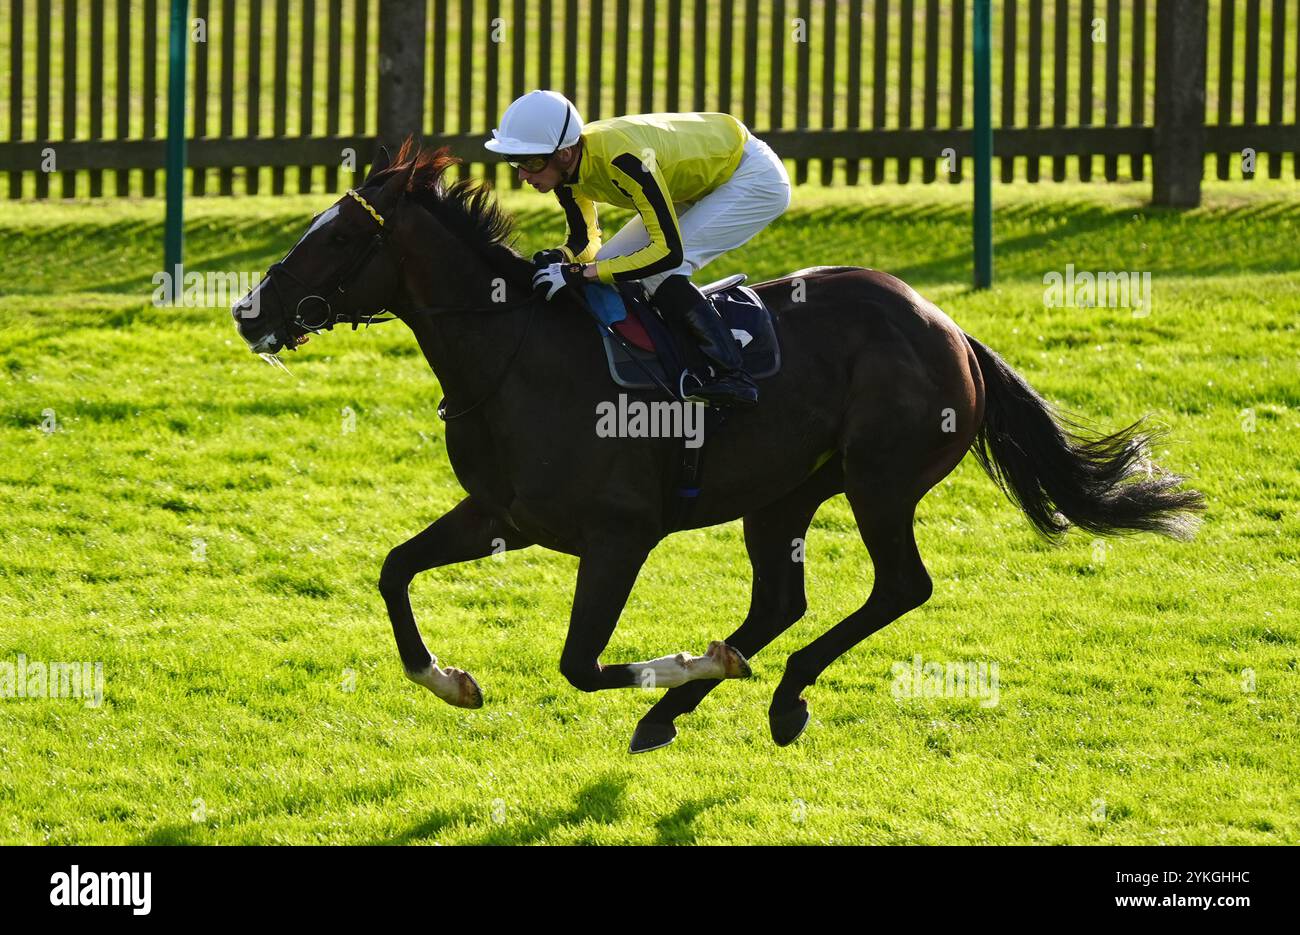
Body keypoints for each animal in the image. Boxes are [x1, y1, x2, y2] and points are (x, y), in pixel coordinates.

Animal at [228, 144, 1201, 754]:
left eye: (340, 237)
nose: (248, 311)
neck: (514, 353)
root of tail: (949, 327)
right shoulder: (503, 514)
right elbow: (394, 569)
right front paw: (451, 680)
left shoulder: (618, 535)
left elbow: (580, 664)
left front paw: (694, 662)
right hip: (783, 496)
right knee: (781, 599)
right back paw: (685, 707)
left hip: (879, 480)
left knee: (899, 586)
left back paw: (772, 691)